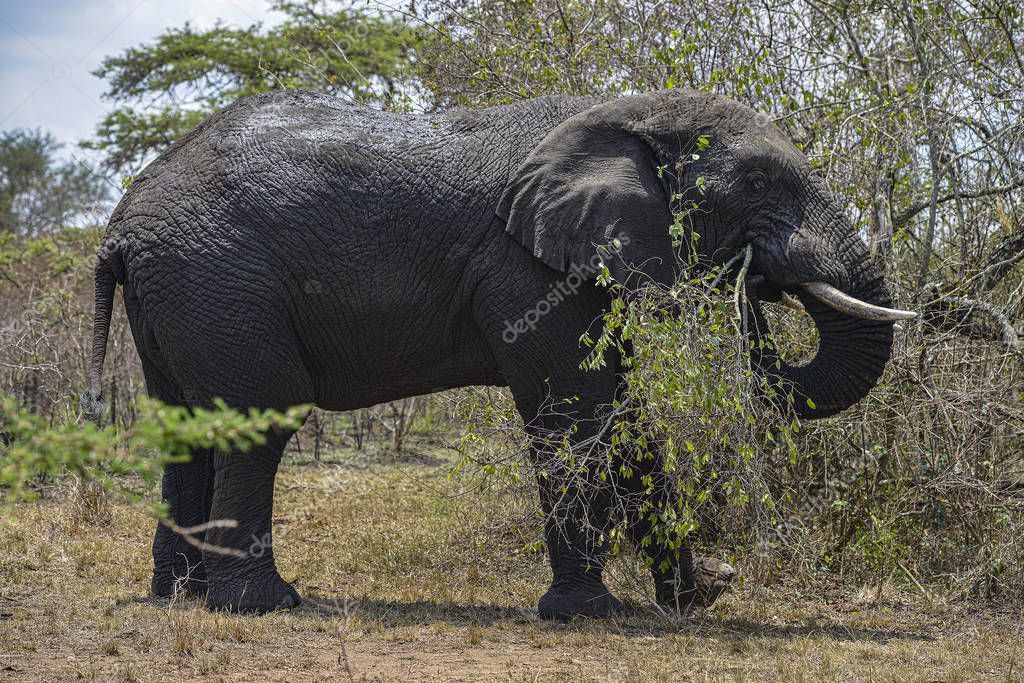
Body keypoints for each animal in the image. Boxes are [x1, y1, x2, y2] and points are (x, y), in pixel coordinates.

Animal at [79, 87, 913, 618]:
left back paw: (179, 596)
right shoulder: (525, 269)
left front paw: (700, 596)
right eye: (757, 181)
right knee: (261, 418)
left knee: (184, 429)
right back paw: (261, 605)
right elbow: (578, 411)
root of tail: (120, 220)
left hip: (181, 294)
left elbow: (628, 418)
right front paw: (588, 613)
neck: (627, 112)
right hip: (219, 282)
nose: (752, 287)